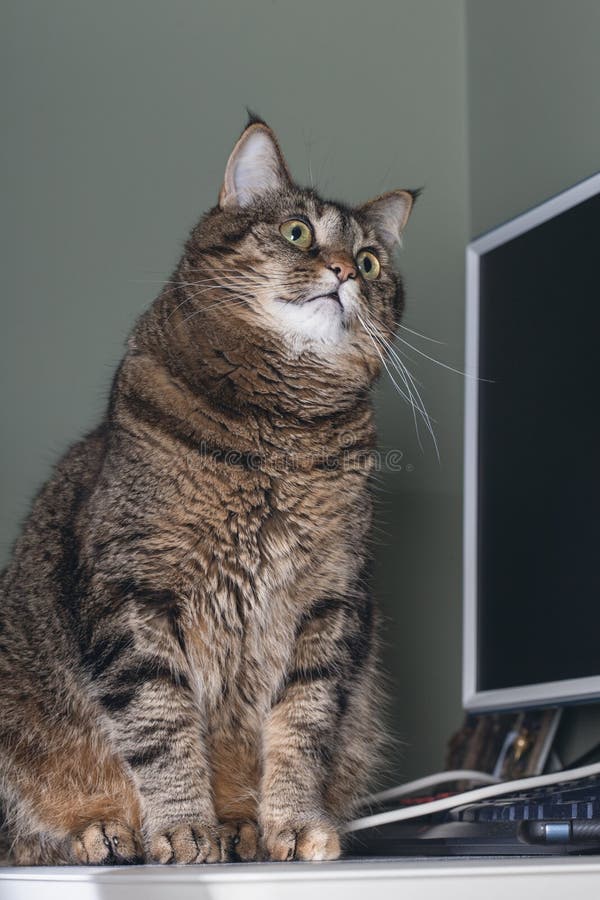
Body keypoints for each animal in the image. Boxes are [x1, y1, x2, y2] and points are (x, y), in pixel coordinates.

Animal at [0, 119, 412, 864]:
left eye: (369, 263)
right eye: (299, 233)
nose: (343, 272)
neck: (279, 435)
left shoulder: (328, 601)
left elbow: (303, 725)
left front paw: (290, 825)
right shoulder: (134, 593)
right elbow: (160, 726)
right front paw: (185, 829)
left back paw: (242, 831)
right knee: (32, 833)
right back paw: (104, 834)